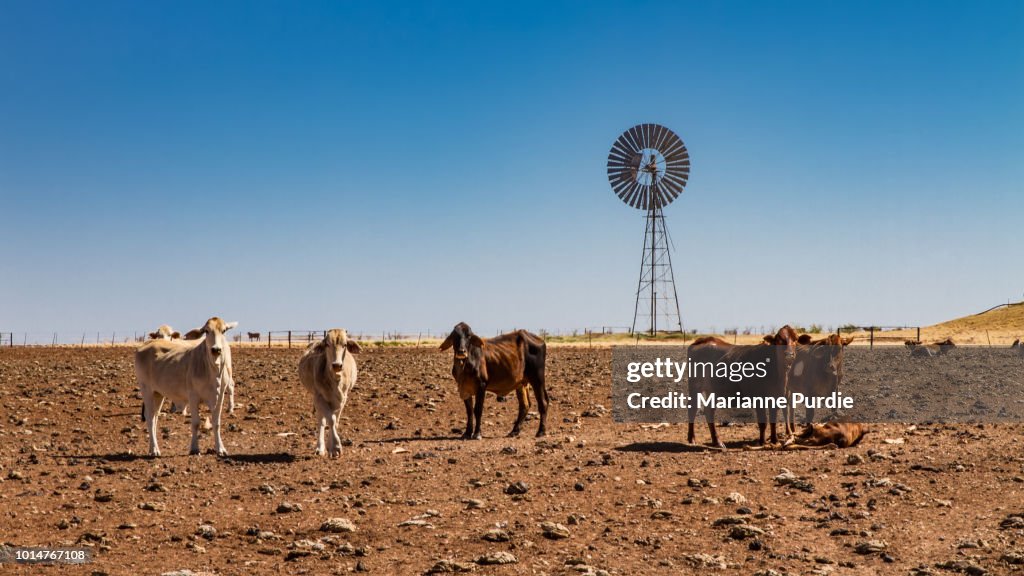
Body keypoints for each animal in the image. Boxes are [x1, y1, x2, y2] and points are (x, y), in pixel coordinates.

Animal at [131, 315, 234, 455]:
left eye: (223, 331)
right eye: (206, 331)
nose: (216, 349)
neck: (212, 369)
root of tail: (144, 345)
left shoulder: (219, 396)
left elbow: (217, 423)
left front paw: (221, 448)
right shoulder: (193, 396)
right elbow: (195, 423)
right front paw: (194, 448)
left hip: (158, 393)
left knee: (155, 416)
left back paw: (153, 447)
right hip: (146, 389)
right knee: (149, 417)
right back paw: (154, 450)